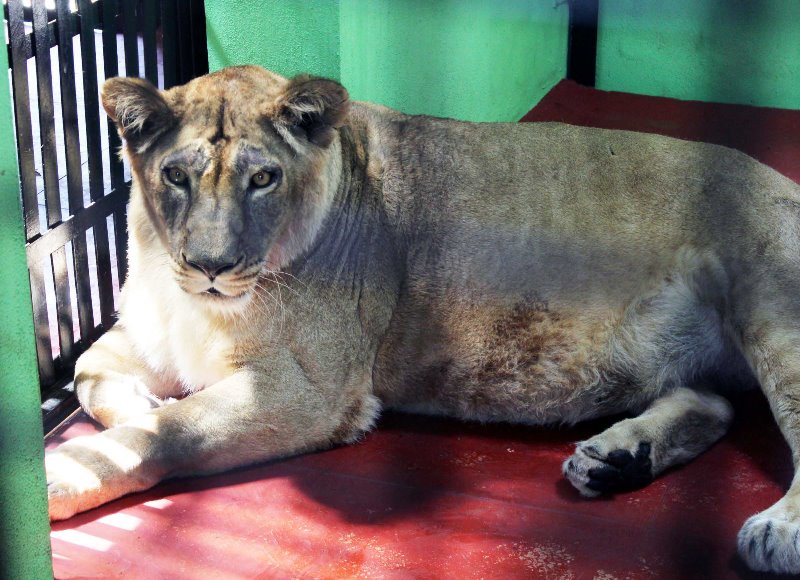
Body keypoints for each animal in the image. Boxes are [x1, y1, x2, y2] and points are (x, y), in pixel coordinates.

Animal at [44, 65, 800, 574]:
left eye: (262, 179)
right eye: (176, 177)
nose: (211, 264)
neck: (186, 296)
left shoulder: (313, 394)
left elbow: (168, 432)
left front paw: (58, 474)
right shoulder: (142, 338)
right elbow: (88, 371)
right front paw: (137, 404)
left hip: (772, 308)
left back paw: (777, 531)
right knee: (713, 403)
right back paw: (619, 459)